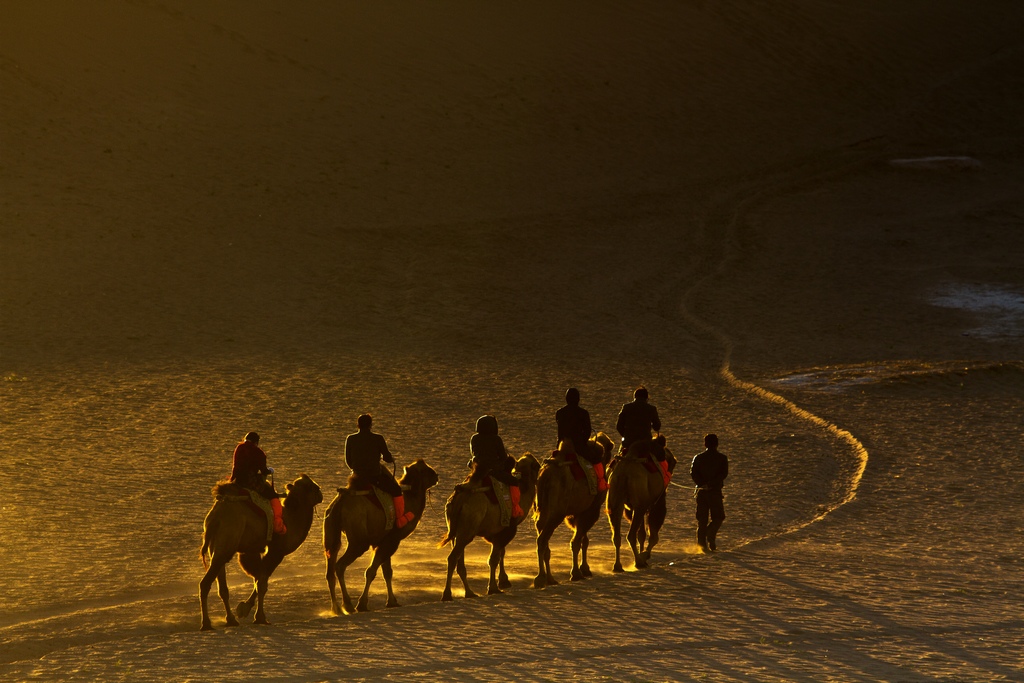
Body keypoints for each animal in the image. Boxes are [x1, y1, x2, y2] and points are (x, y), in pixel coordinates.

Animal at [197, 475, 321, 630]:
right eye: (313, 486)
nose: (321, 494)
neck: (290, 521)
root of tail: (215, 518)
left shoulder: (253, 550)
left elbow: (258, 579)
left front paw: (243, 609)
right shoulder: (276, 551)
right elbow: (262, 584)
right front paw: (260, 617)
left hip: (217, 548)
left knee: (222, 587)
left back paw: (231, 620)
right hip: (225, 544)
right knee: (205, 584)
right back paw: (206, 624)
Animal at [323, 458, 436, 614]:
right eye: (425, 469)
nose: (436, 476)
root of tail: (339, 505)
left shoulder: (383, 541)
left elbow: (387, 572)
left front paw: (392, 602)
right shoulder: (392, 540)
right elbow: (371, 571)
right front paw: (362, 604)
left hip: (331, 531)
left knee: (330, 569)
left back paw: (336, 608)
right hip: (359, 541)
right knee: (340, 565)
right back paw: (348, 605)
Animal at [440, 456, 544, 602]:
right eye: (537, 465)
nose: (542, 470)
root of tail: (459, 499)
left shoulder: (496, 532)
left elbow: (500, 554)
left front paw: (503, 582)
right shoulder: (508, 529)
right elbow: (493, 559)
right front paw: (494, 588)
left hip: (456, 532)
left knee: (459, 563)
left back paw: (469, 593)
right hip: (467, 531)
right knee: (452, 558)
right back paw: (447, 595)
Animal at [532, 432, 610, 589]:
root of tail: (545, 476)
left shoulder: (580, 511)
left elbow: (583, 540)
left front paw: (584, 569)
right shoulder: (592, 509)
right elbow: (577, 542)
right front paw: (577, 572)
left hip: (543, 512)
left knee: (543, 539)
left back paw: (550, 579)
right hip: (557, 513)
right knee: (542, 540)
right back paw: (540, 578)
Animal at [602, 438, 675, 573]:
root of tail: (624, 474)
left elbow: (641, 534)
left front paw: (643, 554)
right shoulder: (655, 503)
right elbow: (653, 535)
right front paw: (645, 555)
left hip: (614, 502)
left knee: (617, 536)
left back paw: (618, 566)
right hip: (639, 506)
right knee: (631, 535)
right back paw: (639, 562)